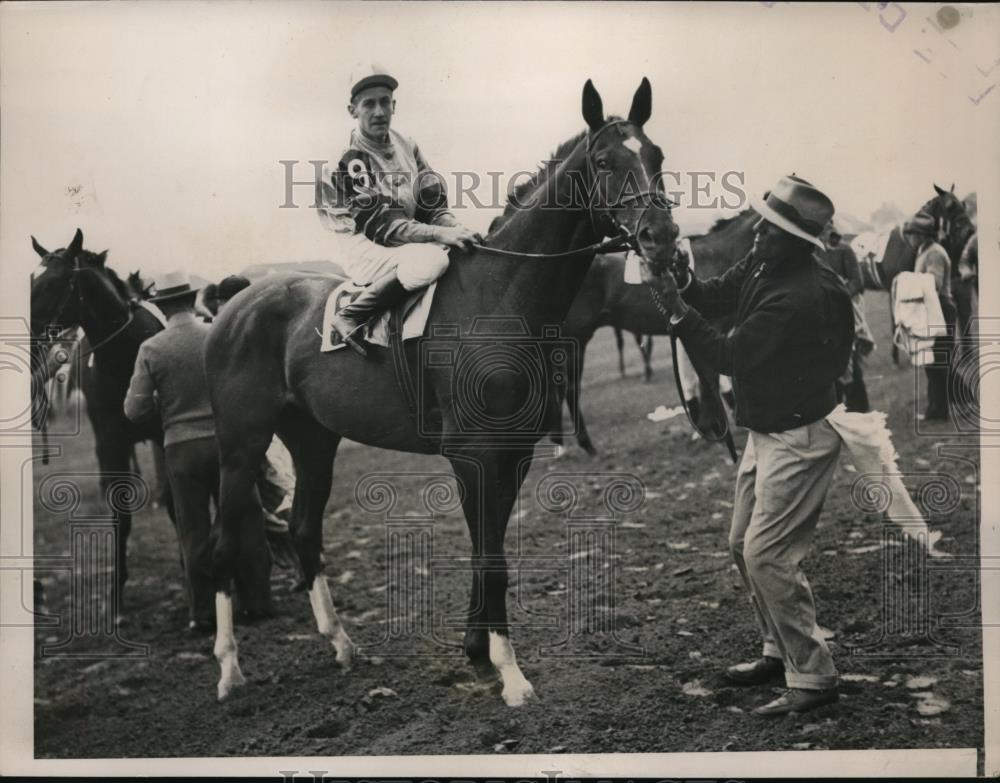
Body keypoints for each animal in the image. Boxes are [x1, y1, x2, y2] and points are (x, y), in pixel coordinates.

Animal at [28, 230, 174, 616]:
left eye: (53, 282)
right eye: (31, 280)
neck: (126, 356)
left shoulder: (166, 434)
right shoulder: (110, 441)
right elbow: (119, 513)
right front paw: (117, 591)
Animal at [208, 81, 684, 712]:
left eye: (656, 155)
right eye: (605, 161)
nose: (662, 238)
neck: (501, 298)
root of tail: (237, 301)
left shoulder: (512, 454)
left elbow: (490, 553)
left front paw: (478, 651)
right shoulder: (474, 456)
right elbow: (492, 560)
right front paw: (511, 674)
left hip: (313, 440)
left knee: (306, 529)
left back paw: (342, 645)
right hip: (240, 447)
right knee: (222, 543)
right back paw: (229, 669)